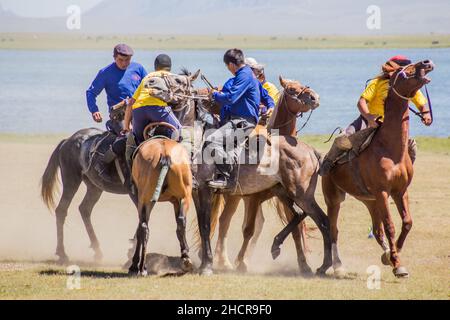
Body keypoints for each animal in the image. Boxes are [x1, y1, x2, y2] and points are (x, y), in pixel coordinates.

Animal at [322, 60, 434, 278]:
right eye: (405, 70)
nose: (427, 62)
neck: (391, 149)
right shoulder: (383, 192)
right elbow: (390, 226)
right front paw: (397, 264)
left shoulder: (400, 191)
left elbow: (407, 222)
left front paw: (393, 255)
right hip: (334, 198)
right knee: (333, 230)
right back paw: (338, 266)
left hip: (370, 201)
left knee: (376, 230)